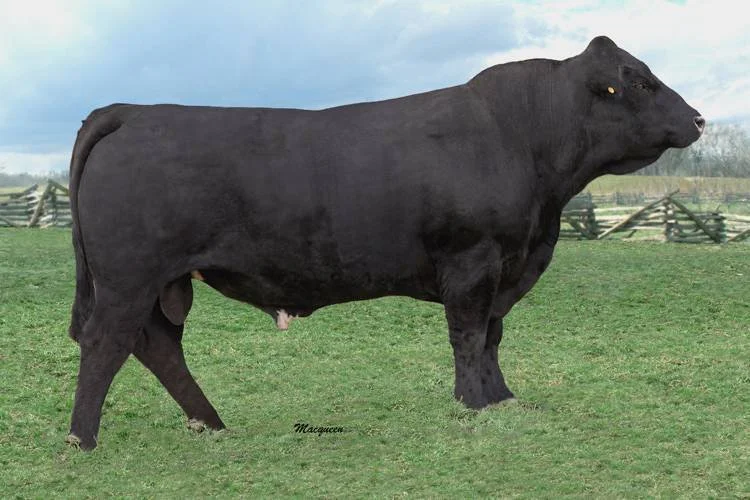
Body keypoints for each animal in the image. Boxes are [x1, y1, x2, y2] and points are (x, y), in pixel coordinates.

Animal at [65, 36, 703, 450]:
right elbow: (469, 336)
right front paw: (473, 404)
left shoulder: (505, 267)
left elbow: (493, 337)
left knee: (156, 345)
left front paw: (502, 398)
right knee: (105, 342)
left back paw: (210, 423)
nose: (698, 118)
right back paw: (82, 439)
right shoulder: (473, 261)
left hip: (161, 283)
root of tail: (133, 111)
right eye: (637, 81)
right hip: (128, 278)